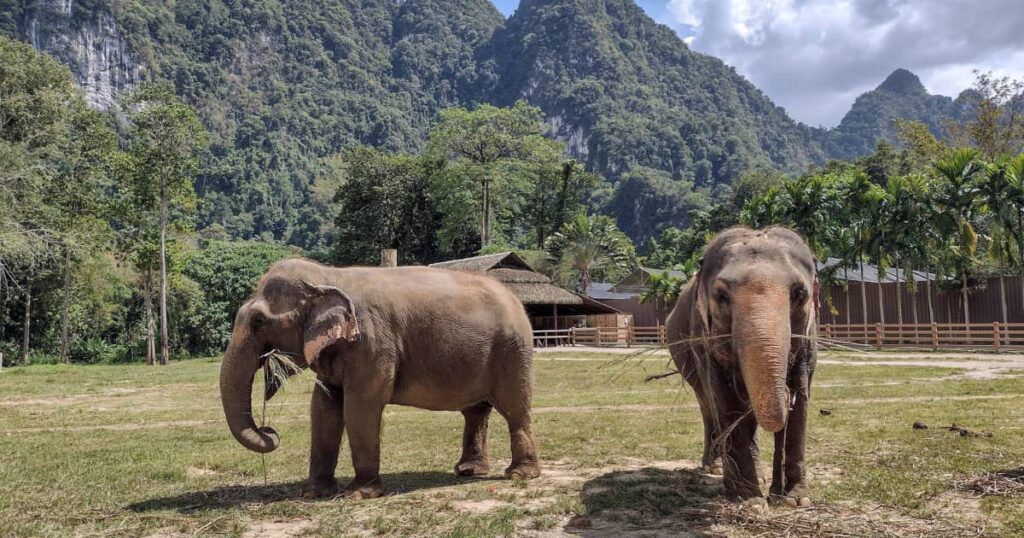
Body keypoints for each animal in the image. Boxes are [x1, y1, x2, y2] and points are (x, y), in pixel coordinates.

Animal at [219, 258, 541, 499]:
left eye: (259, 321)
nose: (270, 431)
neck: (330, 275)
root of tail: (515, 298)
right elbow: (323, 408)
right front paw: (313, 494)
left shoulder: (372, 343)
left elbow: (360, 407)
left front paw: (358, 495)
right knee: (475, 412)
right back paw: (468, 471)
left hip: (513, 351)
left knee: (515, 409)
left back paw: (519, 475)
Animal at [665, 226, 818, 505]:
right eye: (722, 296)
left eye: (799, 294)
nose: (785, 393)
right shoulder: (702, 338)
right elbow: (724, 401)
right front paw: (748, 500)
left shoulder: (809, 338)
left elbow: (801, 396)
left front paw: (795, 499)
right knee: (707, 404)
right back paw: (715, 467)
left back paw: (760, 476)